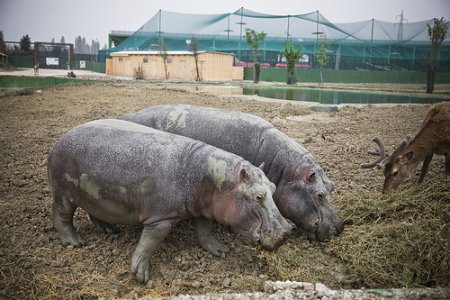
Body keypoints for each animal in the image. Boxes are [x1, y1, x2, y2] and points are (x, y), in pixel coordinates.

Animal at [47, 119, 290, 284]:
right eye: (258, 196)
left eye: (273, 187)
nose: (287, 232)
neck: (213, 180)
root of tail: (63, 136)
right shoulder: (160, 219)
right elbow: (149, 242)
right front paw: (141, 276)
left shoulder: (203, 208)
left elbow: (204, 230)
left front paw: (220, 250)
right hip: (62, 192)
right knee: (61, 215)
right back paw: (74, 243)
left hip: (93, 193)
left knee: (94, 210)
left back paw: (109, 230)